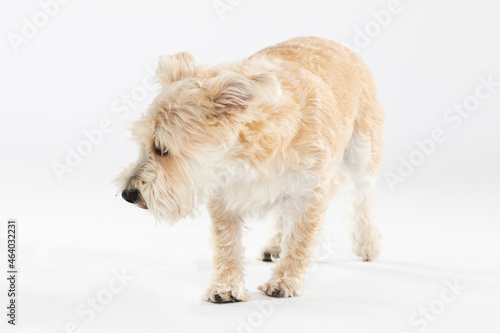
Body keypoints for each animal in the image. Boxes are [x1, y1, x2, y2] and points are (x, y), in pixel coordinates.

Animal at [119, 37, 384, 302]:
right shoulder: (222, 198)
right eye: (144, 144)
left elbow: (299, 239)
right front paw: (226, 284)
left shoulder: (312, 191)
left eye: (162, 149)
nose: (127, 194)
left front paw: (285, 280)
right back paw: (275, 244)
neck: (244, 156)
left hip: (362, 153)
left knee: (362, 195)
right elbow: (227, 243)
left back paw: (367, 243)